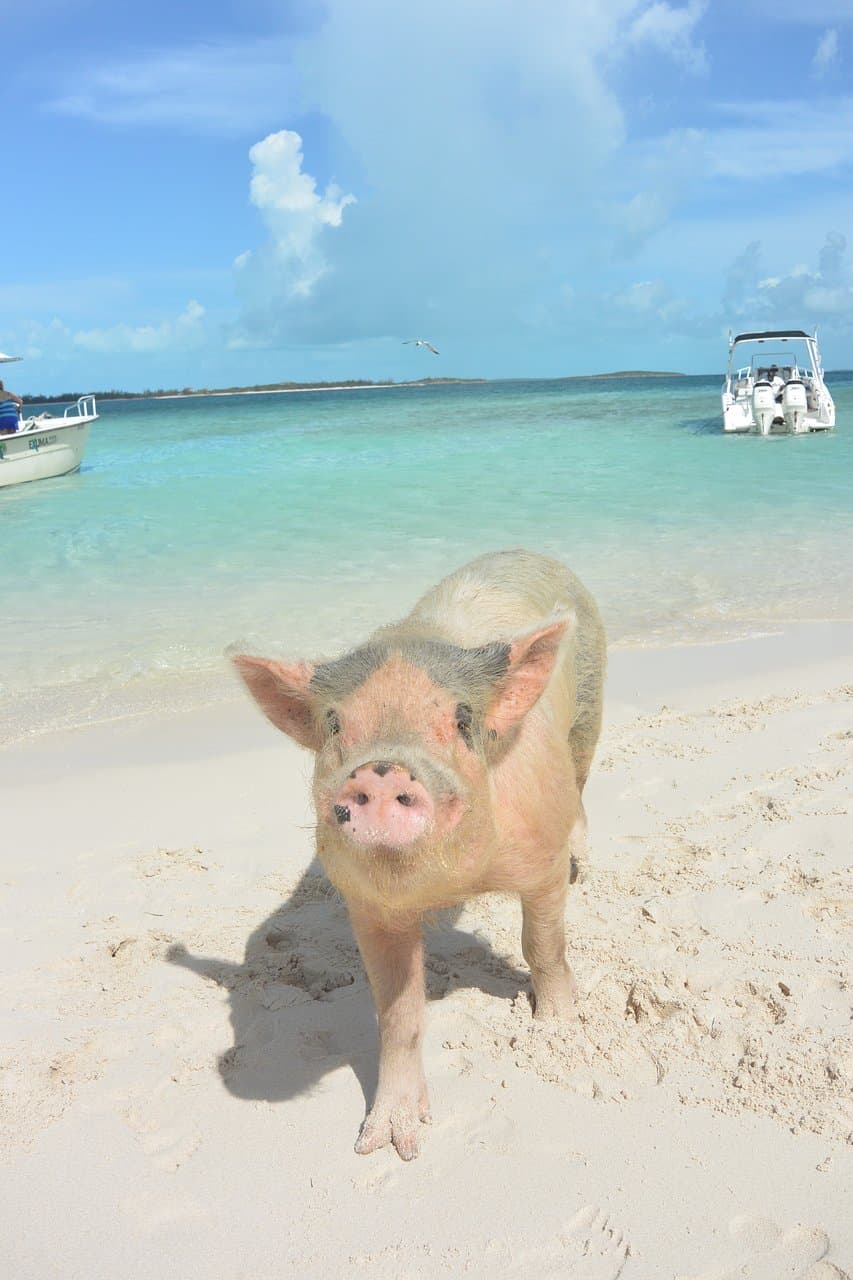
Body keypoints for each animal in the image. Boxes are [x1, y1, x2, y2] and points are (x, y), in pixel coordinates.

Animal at [233, 549, 605, 1160]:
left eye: (461, 718)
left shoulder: (542, 860)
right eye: (335, 723)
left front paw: (558, 1030)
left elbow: (543, 945)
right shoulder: (368, 905)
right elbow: (397, 1010)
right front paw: (387, 1144)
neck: (454, 882)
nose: (381, 770)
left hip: (589, 714)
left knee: (580, 784)